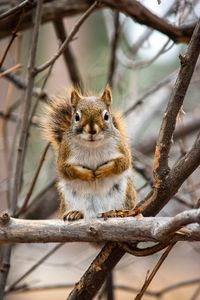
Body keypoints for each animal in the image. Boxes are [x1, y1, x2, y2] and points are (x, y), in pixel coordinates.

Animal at [41, 84, 137, 220]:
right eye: (76, 117)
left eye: (106, 116)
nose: (92, 131)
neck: (92, 146)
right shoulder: (65, 153)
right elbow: (65, 169)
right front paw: (87, 174)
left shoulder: (121, 147)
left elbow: (123, 163)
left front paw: (103, 170)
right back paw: (75, 213)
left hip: (125, 193)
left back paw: (115, 212)